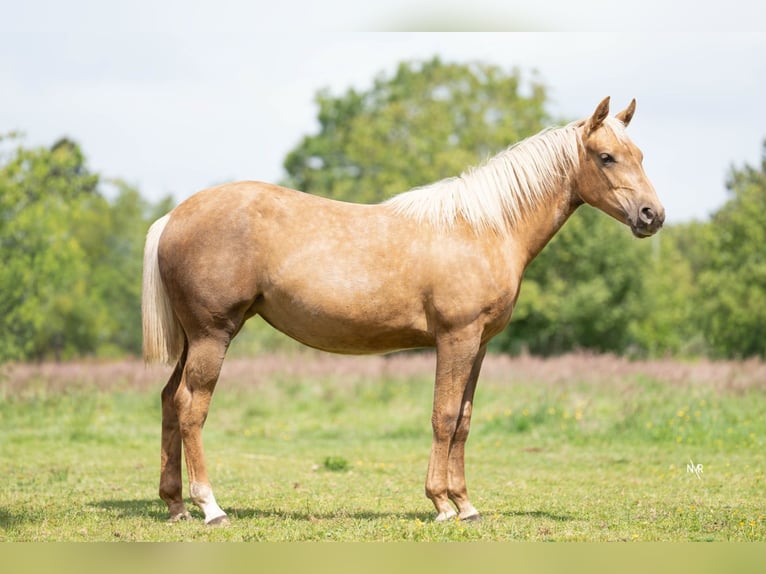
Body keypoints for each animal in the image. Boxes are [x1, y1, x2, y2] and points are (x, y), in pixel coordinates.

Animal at [142, 96, 664, 525]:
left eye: (641, 155)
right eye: (606, 157)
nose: (652, 216)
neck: (483, 228)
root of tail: (174, 216)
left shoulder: (478, 346)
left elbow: (463, 420)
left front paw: (466, 505)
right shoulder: (456, 338)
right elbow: (443, 415)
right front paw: (441, 505)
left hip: (193, 340)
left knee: (169, 400)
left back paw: (176, 506)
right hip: (213, 335)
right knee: (191, 406)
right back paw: (210, 507)